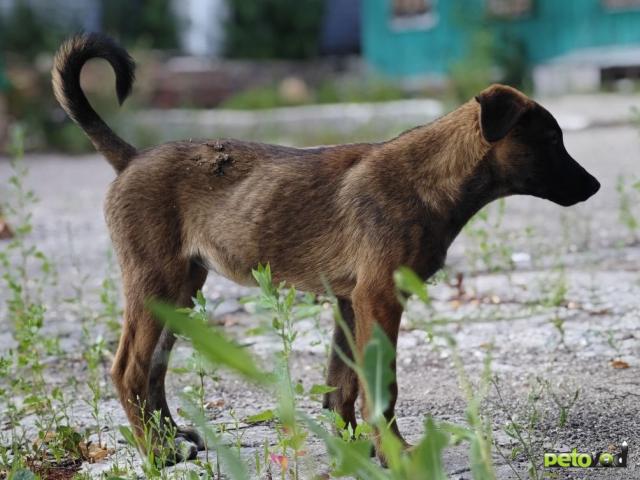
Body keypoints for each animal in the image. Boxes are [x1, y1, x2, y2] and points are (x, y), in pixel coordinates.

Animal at [51, 32, 600, 462]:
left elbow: (343, 384)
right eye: (551, 141)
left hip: (181, 290)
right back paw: (156, 452)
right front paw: (394, 452)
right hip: (155, 284)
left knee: (154, 371)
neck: (430, 177)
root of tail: (130, 157)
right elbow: (380, 386)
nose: (595, 186)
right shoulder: (378, 298)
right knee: (129, 369)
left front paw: (353, 445)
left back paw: (172, 438)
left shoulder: (350, 302)